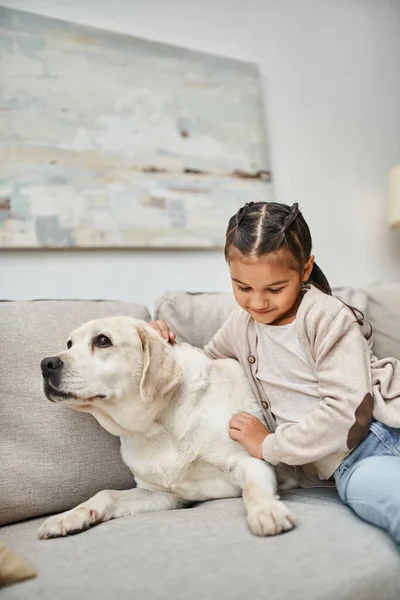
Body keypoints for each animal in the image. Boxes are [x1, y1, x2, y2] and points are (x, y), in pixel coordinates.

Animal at [39, 318, 296, 540]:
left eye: (102, 340)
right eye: (69, 344)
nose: (46, 364)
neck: (156, 427)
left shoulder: (248, 462)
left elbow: (253, 489)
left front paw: (266, 511)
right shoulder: (162, 494)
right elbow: (106, 494)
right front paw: (69, 516)